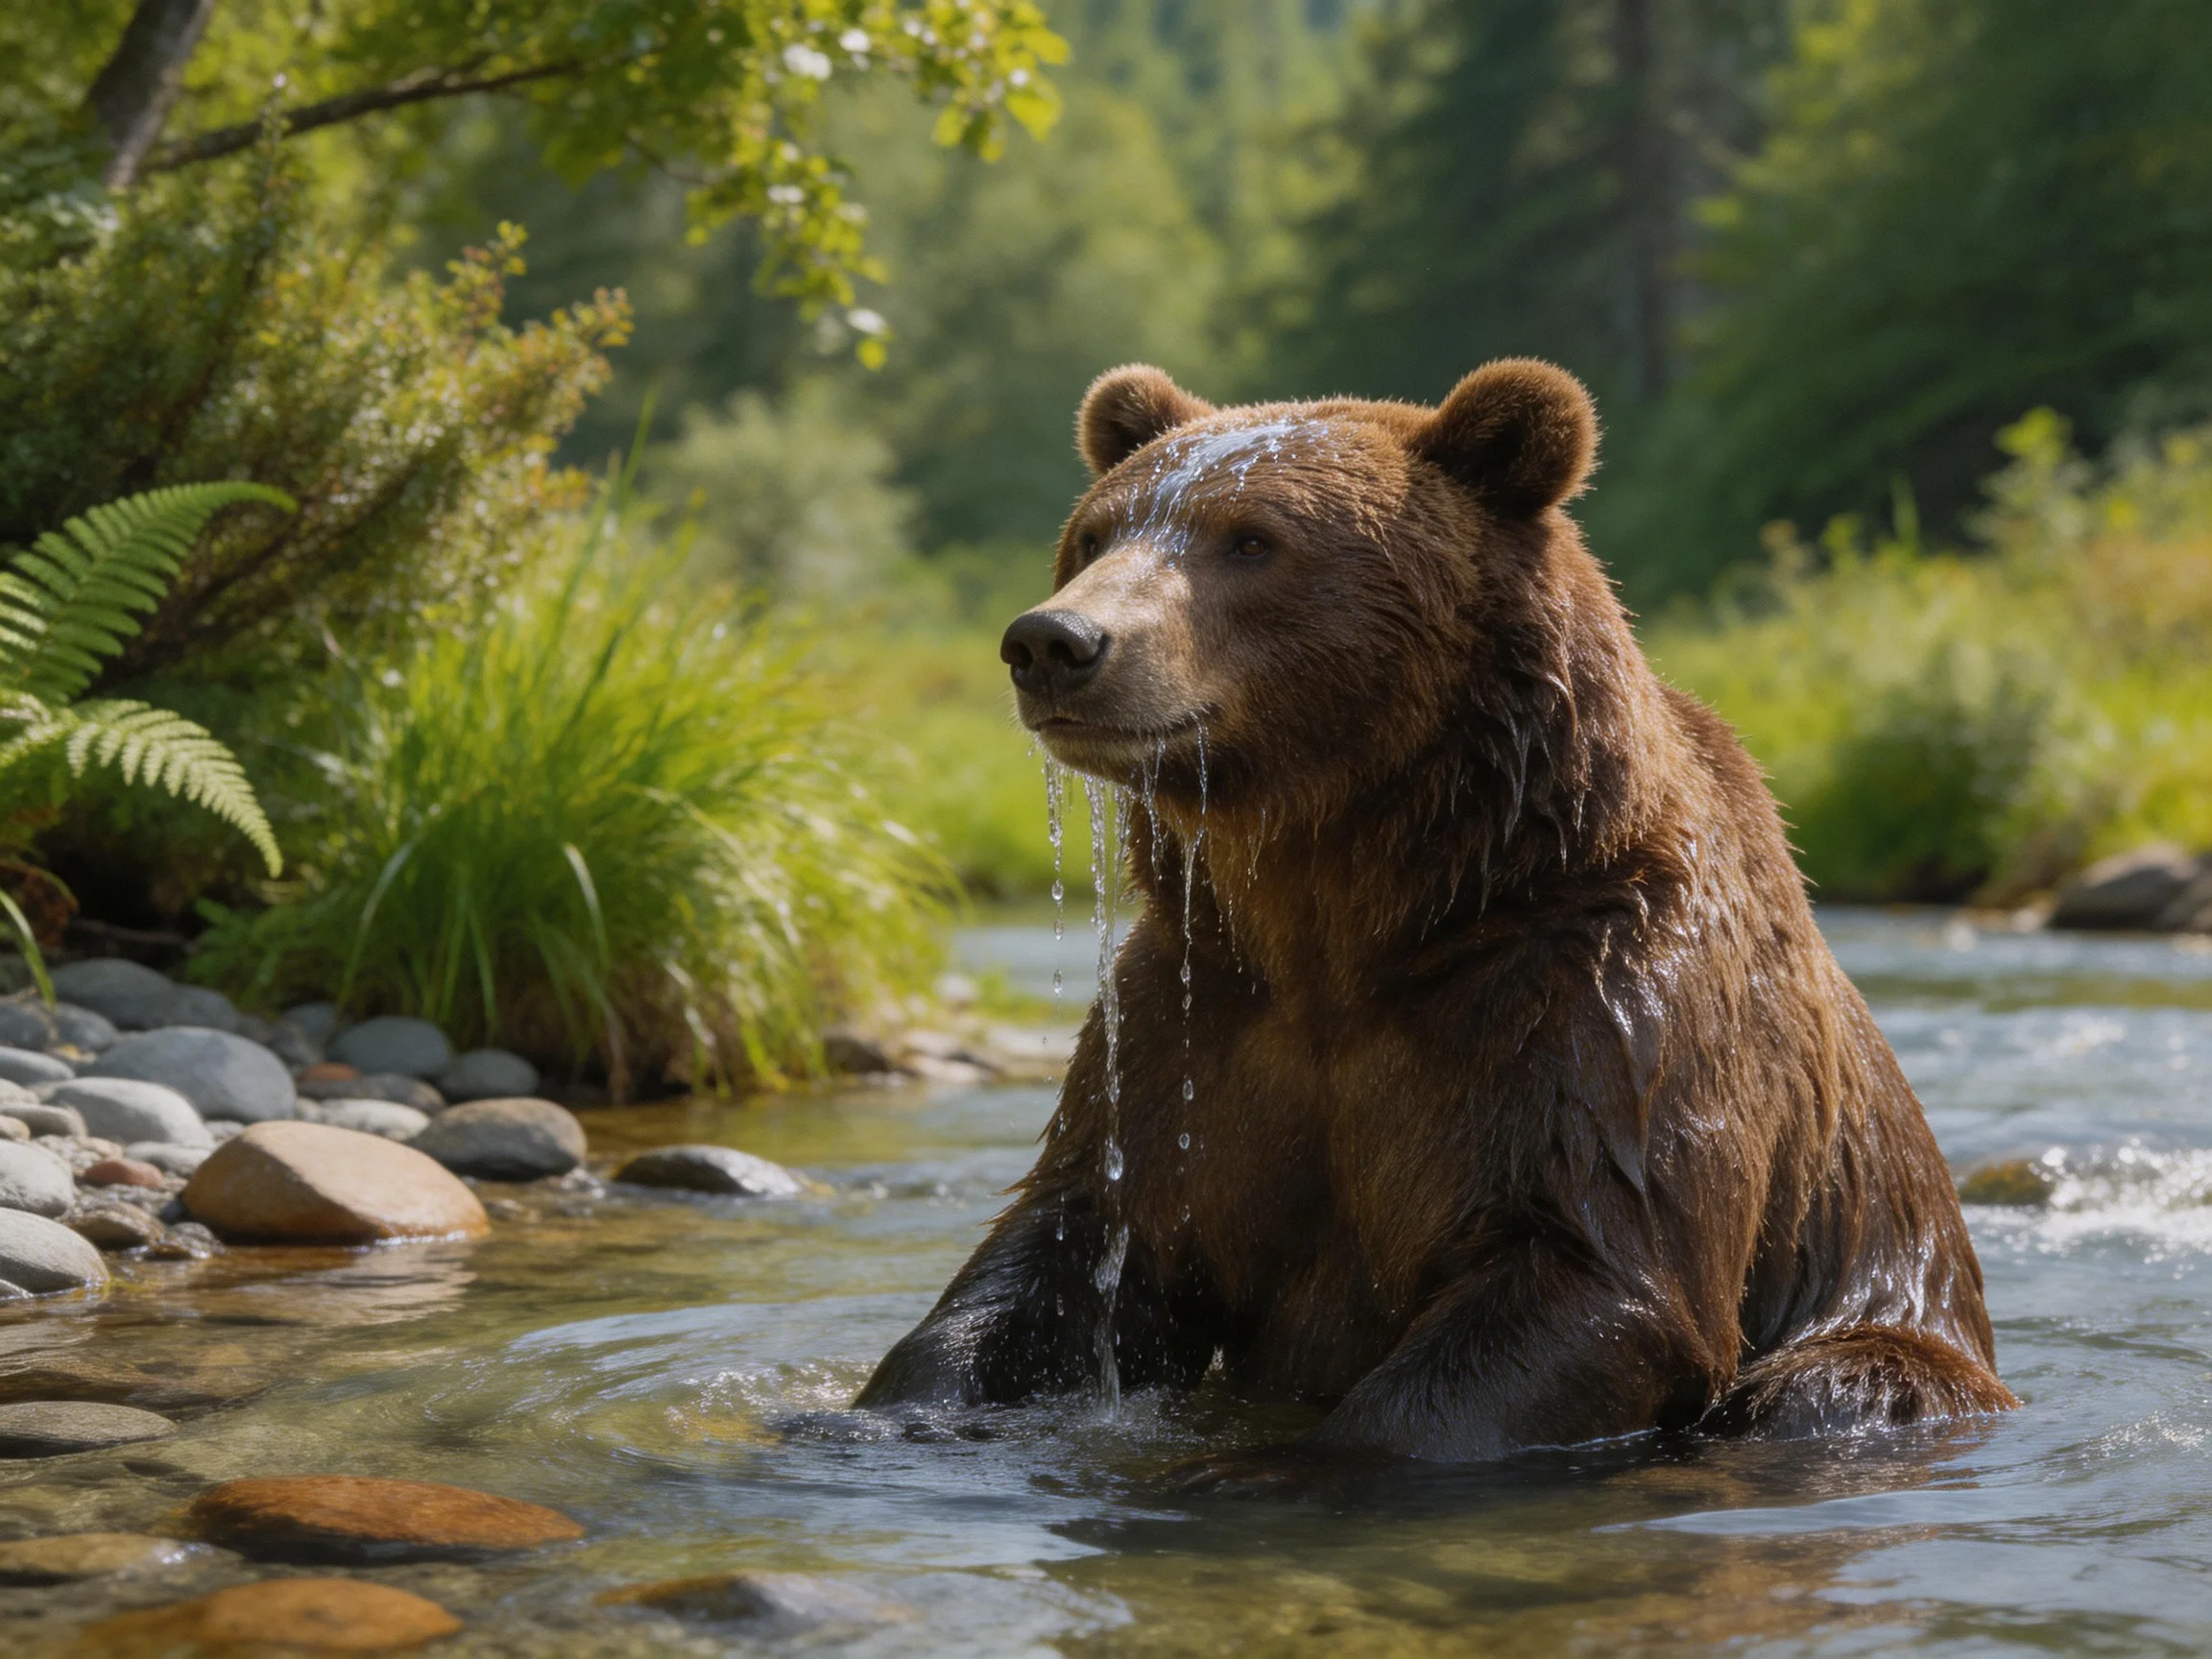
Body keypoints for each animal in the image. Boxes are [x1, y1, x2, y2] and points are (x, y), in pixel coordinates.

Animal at [855, 358, 2016, 1473]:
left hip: (1888, 1322)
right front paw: (886, 1414)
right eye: (1094, 534)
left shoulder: (1598, 1006)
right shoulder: (1193, 1017)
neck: (1359, 906)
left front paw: (1275, 1473)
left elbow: (1591, 1267)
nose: (1055, 642)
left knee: (1826, 1388)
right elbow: (1071, 1248)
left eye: (1252, 539)